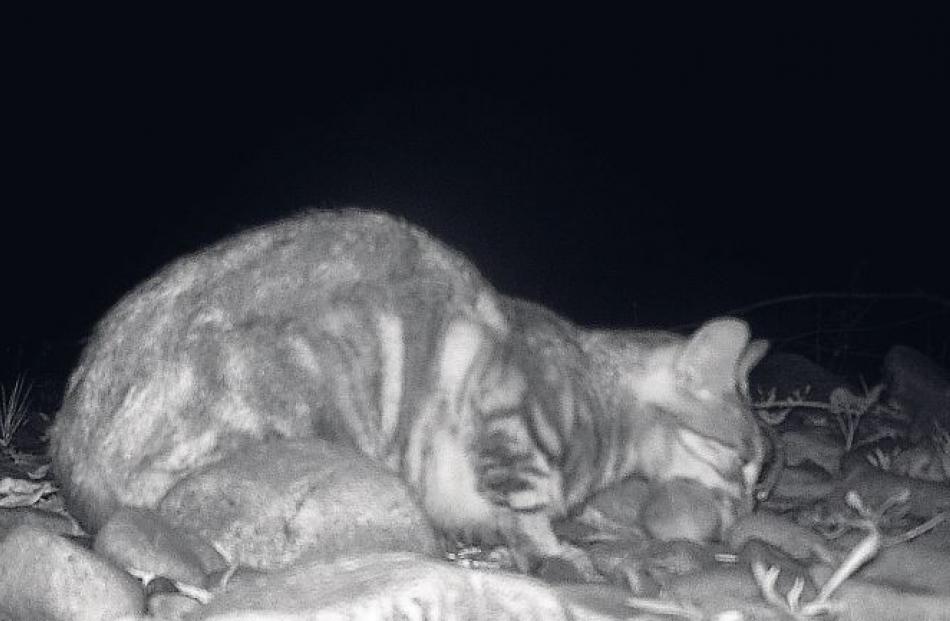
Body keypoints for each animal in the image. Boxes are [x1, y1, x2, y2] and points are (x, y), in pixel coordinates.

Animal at [48, 207, 768, 572]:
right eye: (742, 461)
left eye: (761, 478)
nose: (742, 514)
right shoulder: (507, 428)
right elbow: (528, 510)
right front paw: (557, 547)